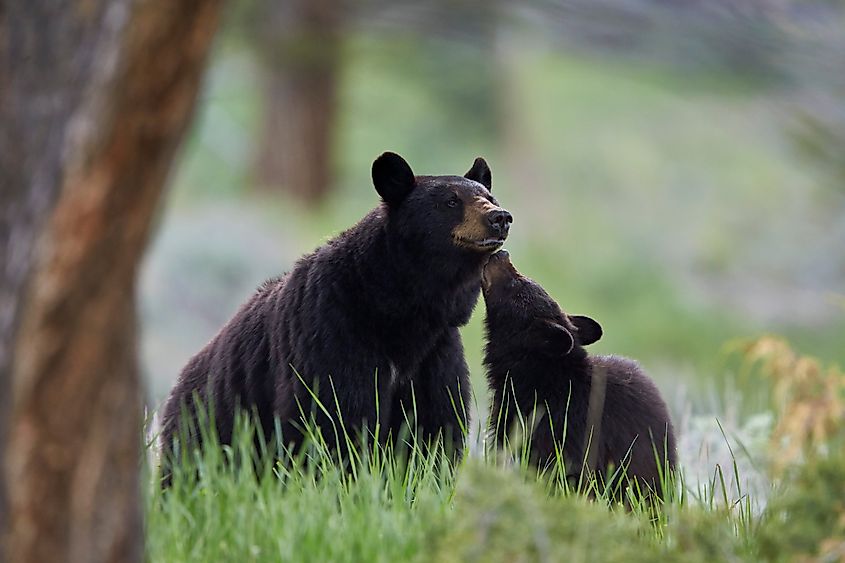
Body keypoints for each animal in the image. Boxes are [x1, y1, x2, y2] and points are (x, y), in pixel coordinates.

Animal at [159, 152, 513, 478]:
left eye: (489, 197)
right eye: (451, 201)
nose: (500, 217)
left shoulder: (436, 351)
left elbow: (434, 422)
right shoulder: (332, 331)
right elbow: (335, 415)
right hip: (208, 426)